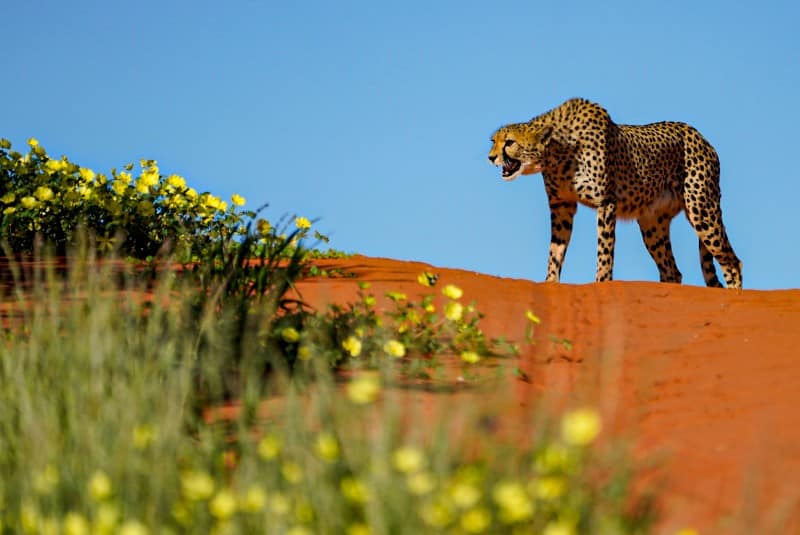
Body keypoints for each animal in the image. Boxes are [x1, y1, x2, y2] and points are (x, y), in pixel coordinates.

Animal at [488, 96, 744, 288]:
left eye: (509, 142)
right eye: (493, 141)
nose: (490, 157)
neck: (557, 153)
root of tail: (702, 138)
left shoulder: (606, 202)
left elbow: (604, 250)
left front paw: (601, 282)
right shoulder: (561, 206)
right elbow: (555, 250)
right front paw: (550, 282)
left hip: (701, 209)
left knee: (733, 262)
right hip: (653, 224)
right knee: (672, 271)